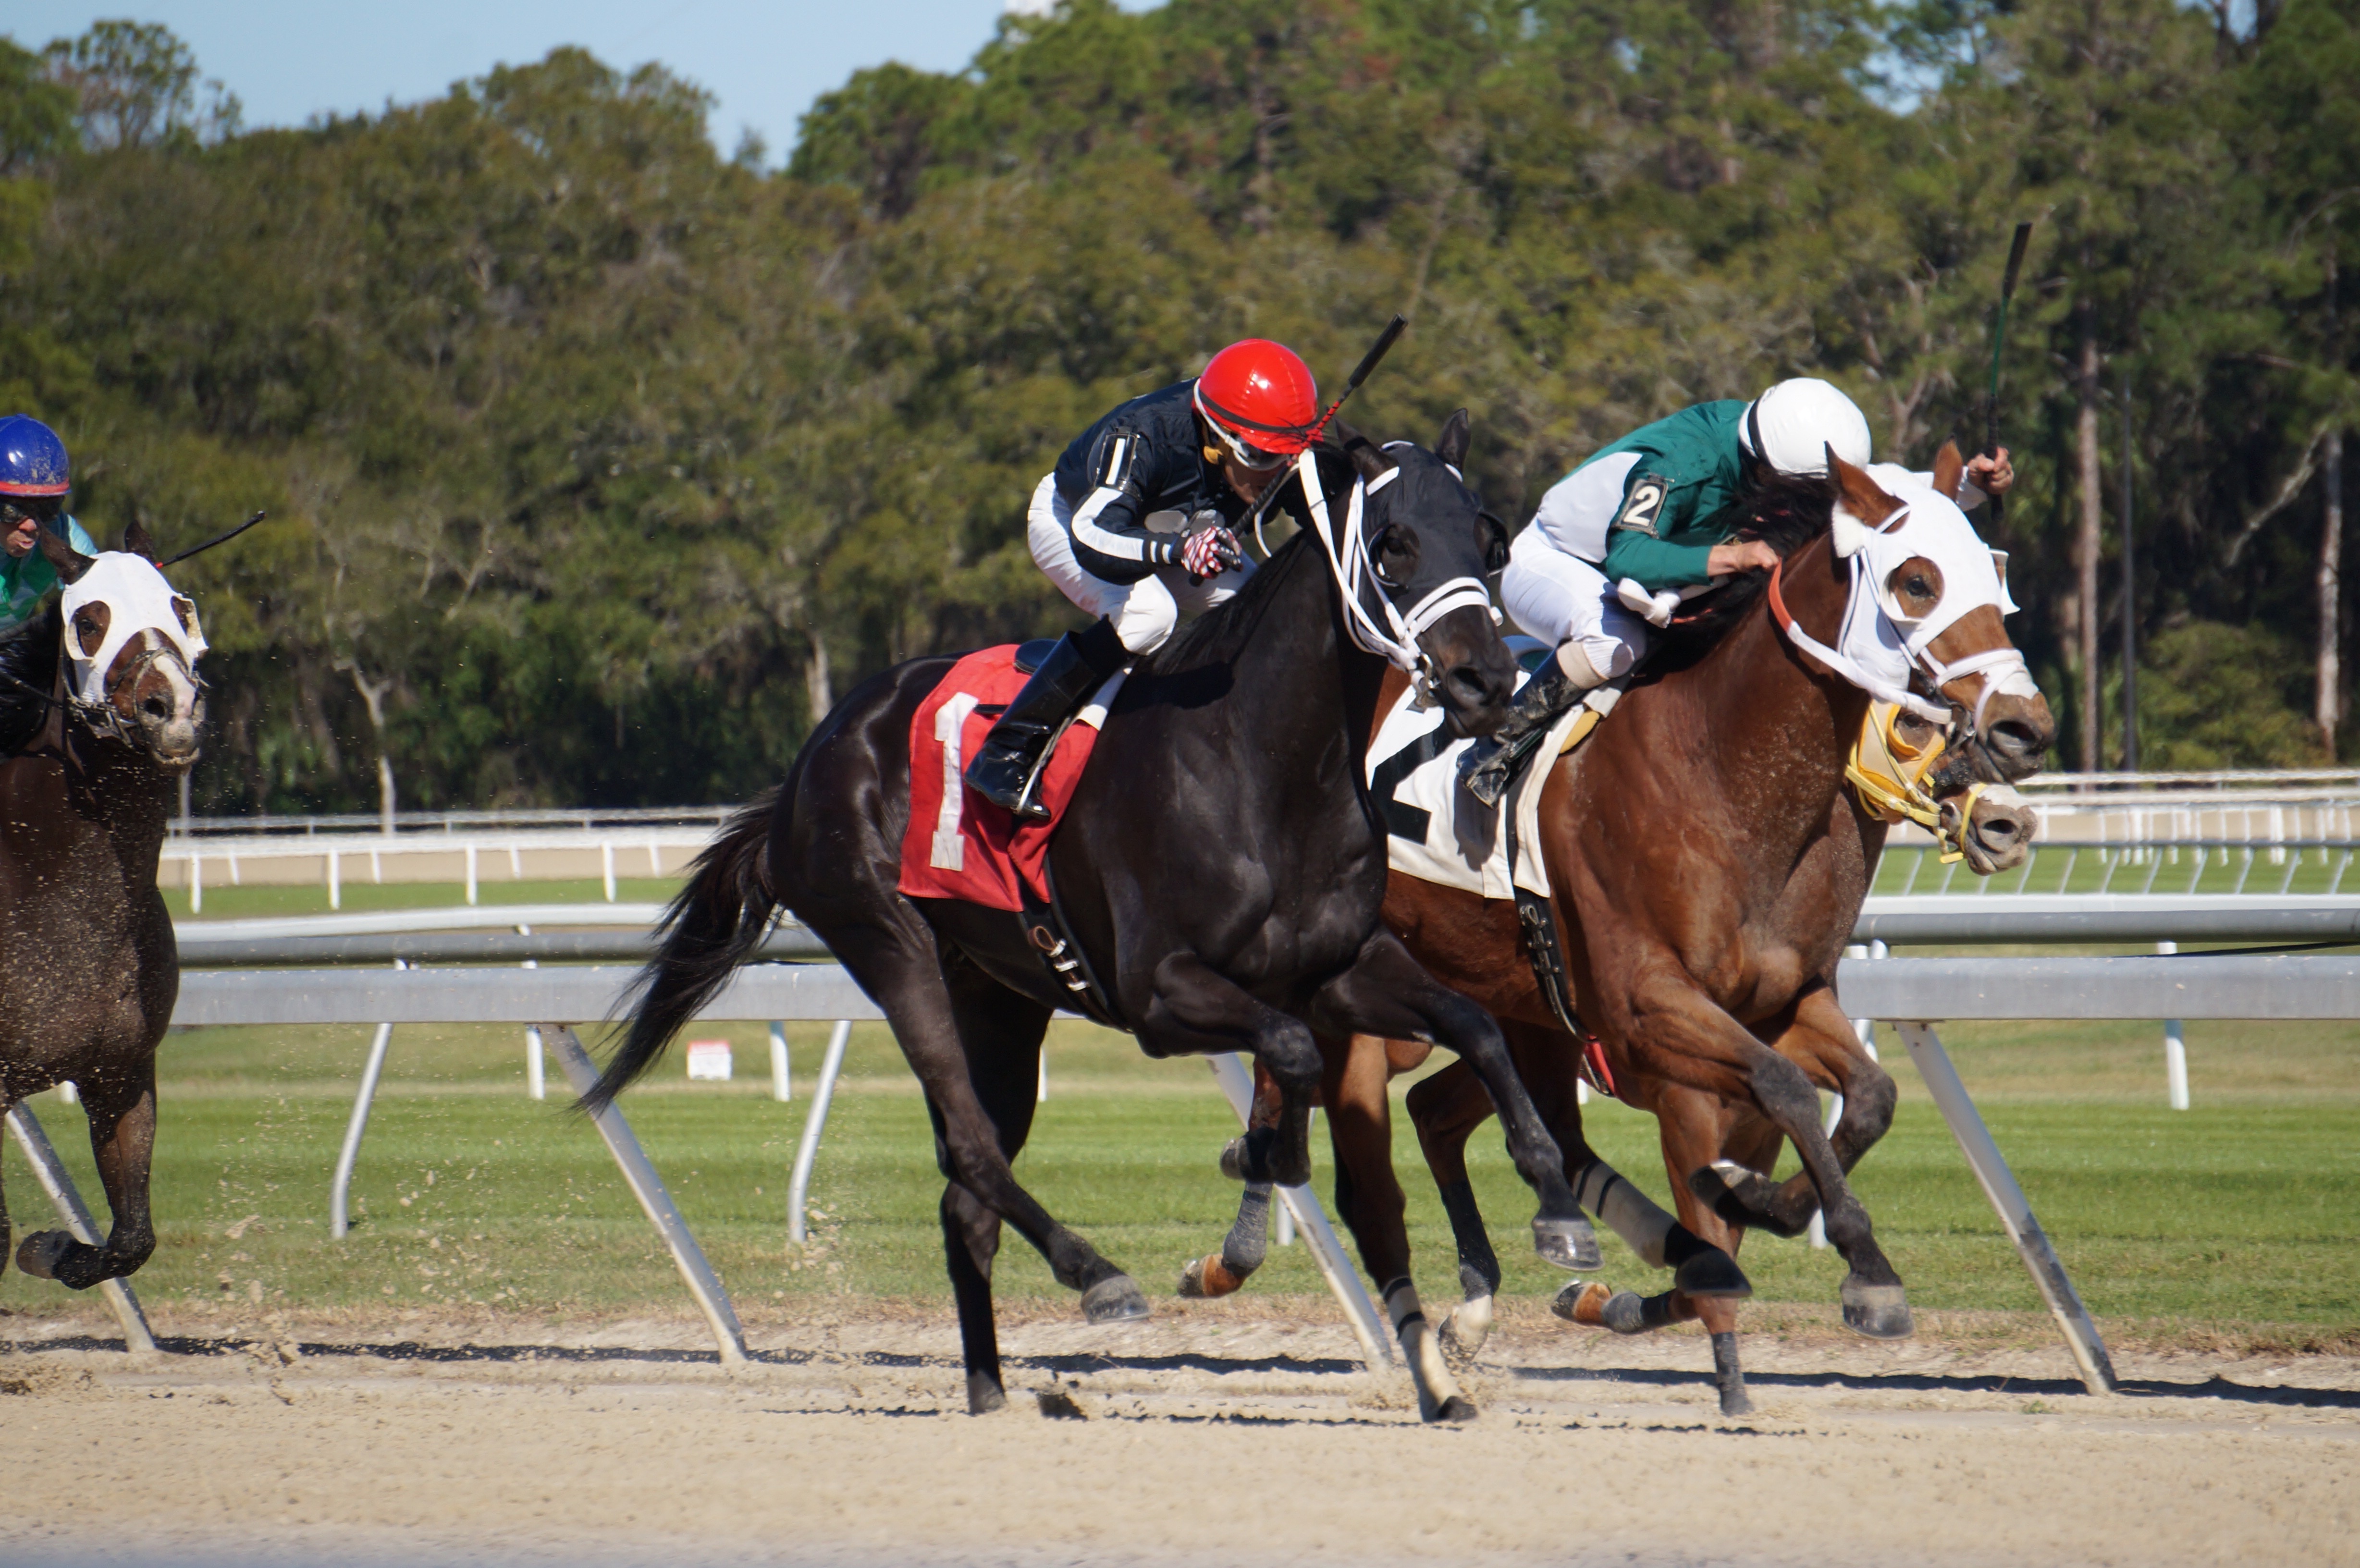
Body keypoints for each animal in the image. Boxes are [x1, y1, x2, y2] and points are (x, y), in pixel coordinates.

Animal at [0, 521, 209, 1295]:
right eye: (89, 622)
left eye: (181, 609)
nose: (171, 708)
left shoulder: (119, 1071)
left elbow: (132, 1239)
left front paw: (55, 1247)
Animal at [589, 415, 1602, 1422]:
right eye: (1393, 544)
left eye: (1488, 540)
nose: (1485, 681)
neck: (1262, 760)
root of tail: (809, 763)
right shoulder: (1160, 993)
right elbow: (1291, 1051)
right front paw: (1259, 1164)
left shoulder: (1337, 966)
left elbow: (1473, 1026)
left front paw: (1557, 1207)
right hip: (889, 943)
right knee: (973, 1151)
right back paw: (1097, 1274)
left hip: (998, 998)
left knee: (967, 1193)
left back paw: (991, 1389)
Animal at [1186, 447, 2052, 1417]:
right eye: (1915, 581)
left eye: (1997, 583)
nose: (2023, 740)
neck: (1721, 767)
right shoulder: (1652, 1014)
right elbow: (1782, 1096)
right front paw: (1802, 1300)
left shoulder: (1782, 1000)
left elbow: (1865, 1096)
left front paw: (1781, 1217)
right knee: (1324, 1111)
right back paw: (1247, 1243)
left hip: (1508, 1005)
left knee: (1448, 1114)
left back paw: (1487, 1292)